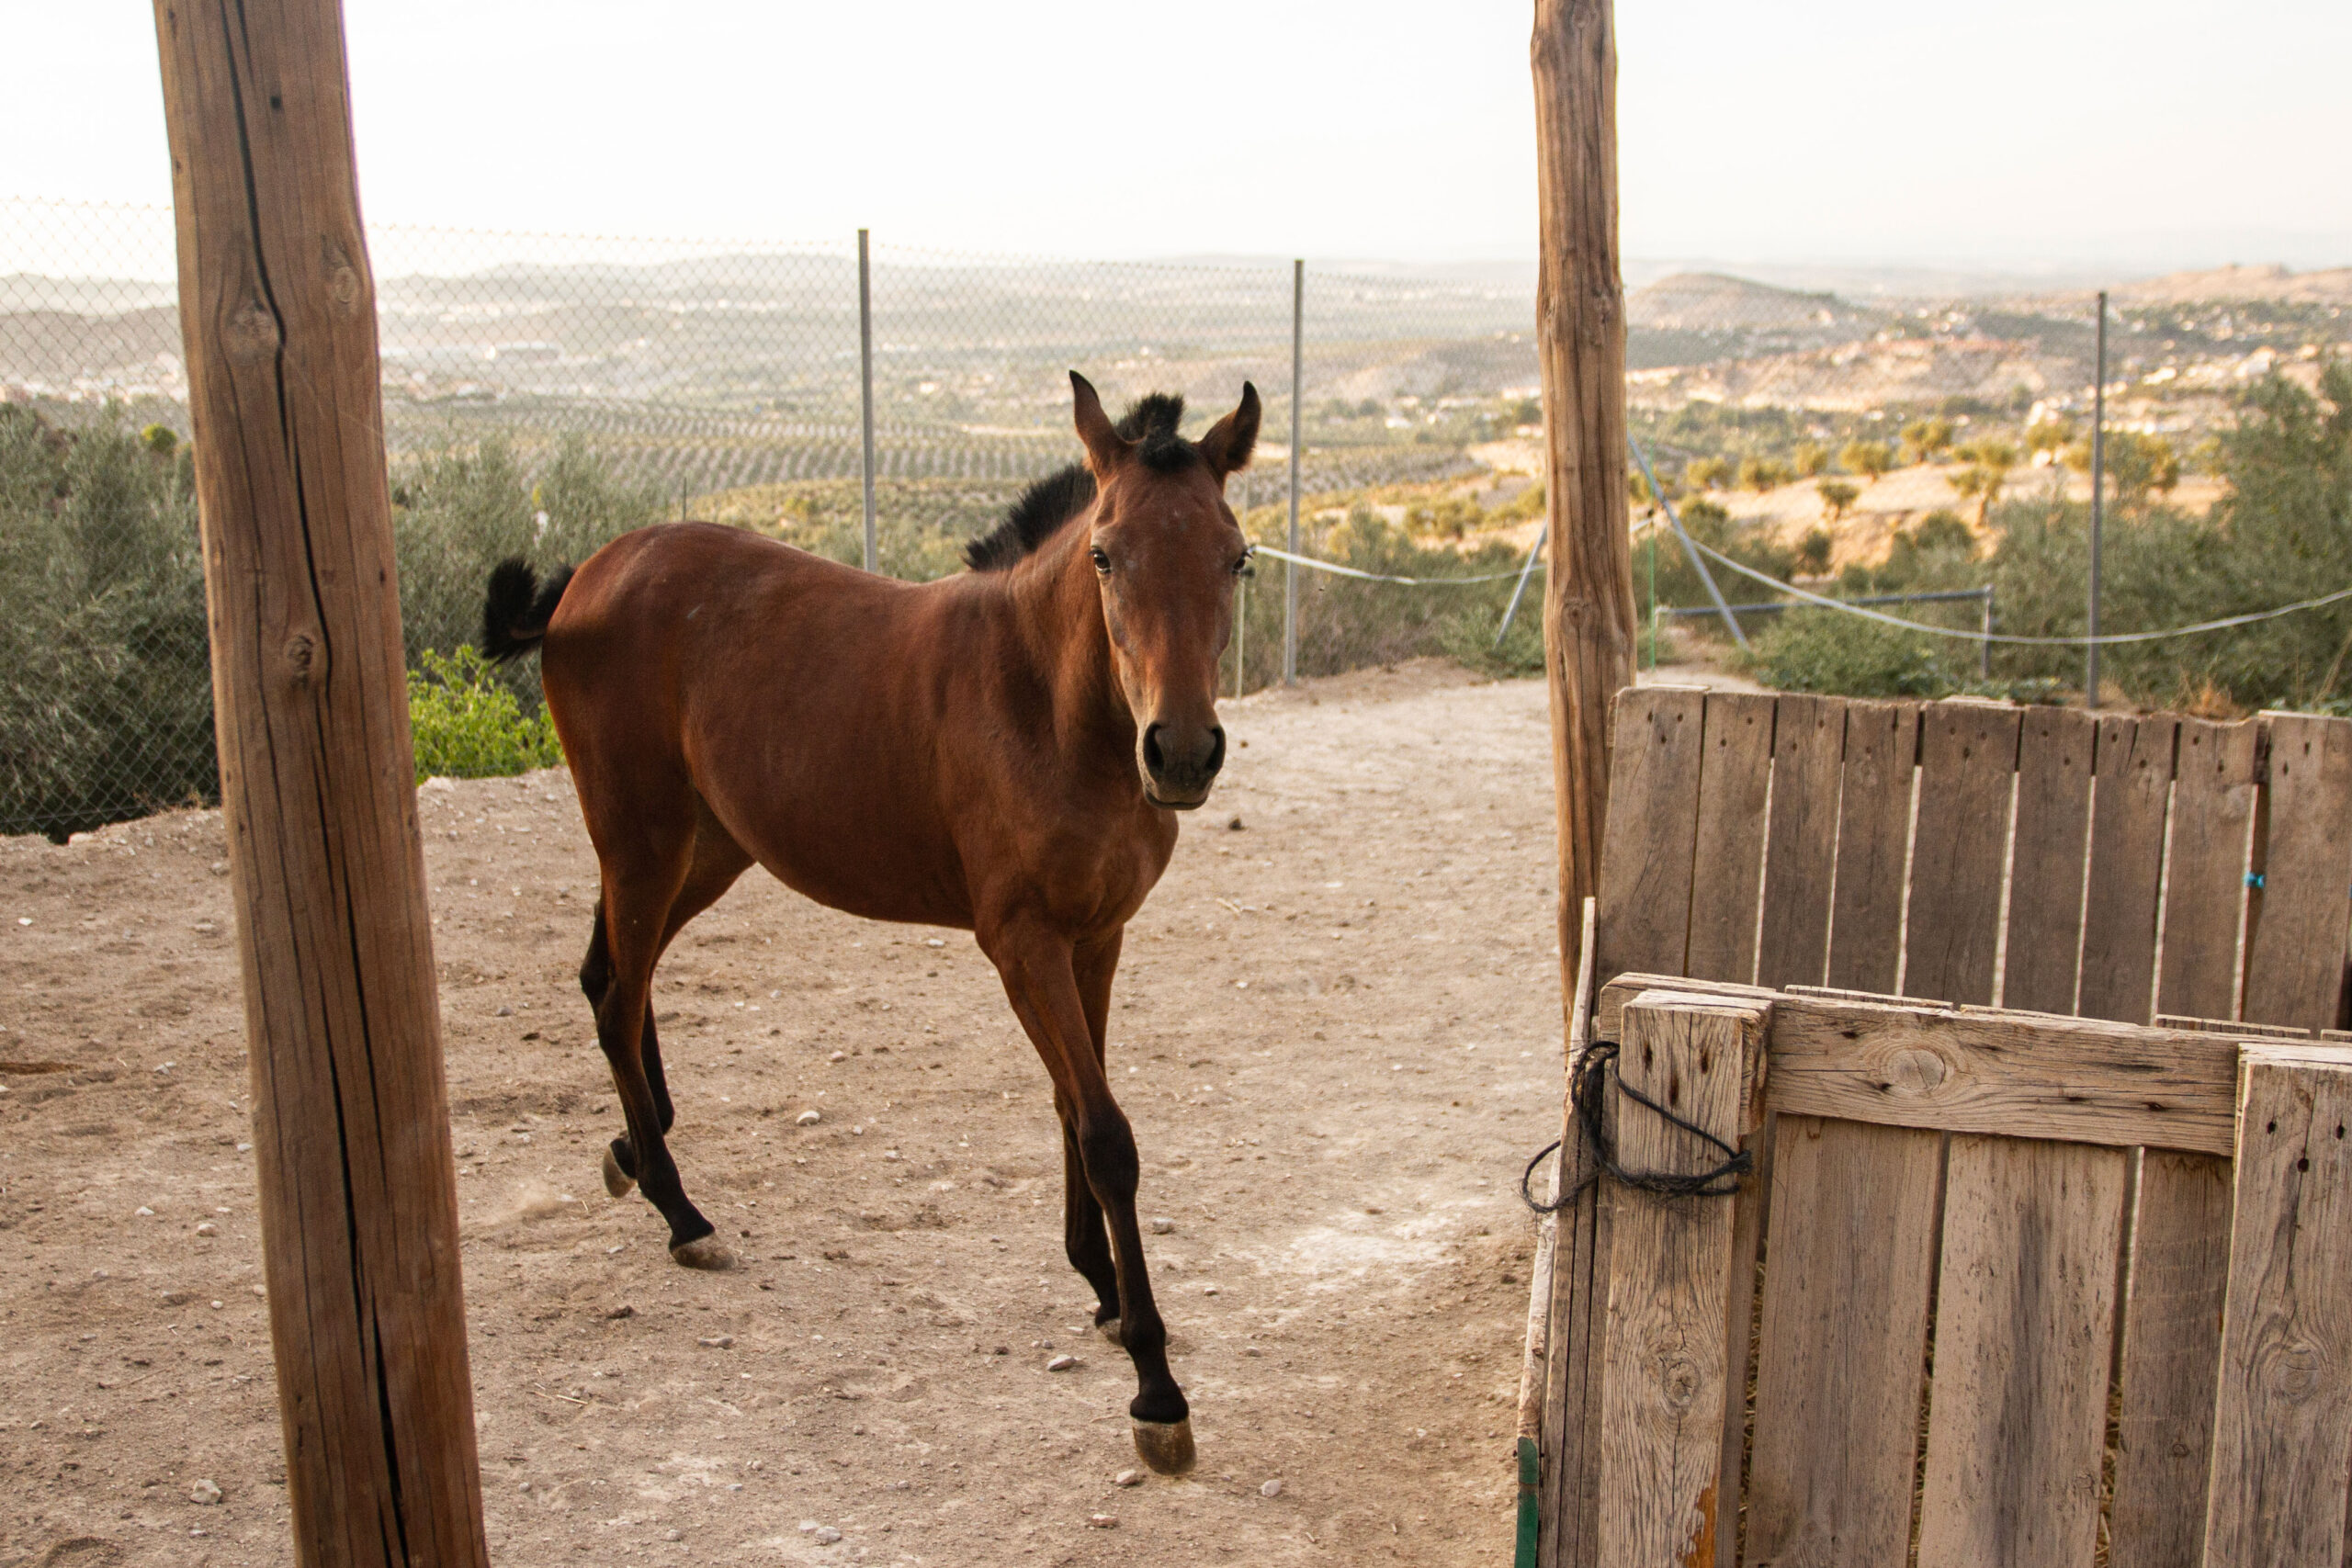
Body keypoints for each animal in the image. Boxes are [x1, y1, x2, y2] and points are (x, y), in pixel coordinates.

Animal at [470, 373, 1261, 1476]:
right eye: (1106, 554)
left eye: (1236, 556)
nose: (1182, 754)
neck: (1048, 706)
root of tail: (586, 573)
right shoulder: (1022, 943)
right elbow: (1105, 1132)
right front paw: (1155, 1385)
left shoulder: (1096, 936)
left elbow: (1075, 1104)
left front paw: (1101, 1290)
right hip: (642, 838)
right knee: (619, 995)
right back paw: (681, 1210)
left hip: (708, 846)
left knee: (609, 978)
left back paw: (636, 1148)